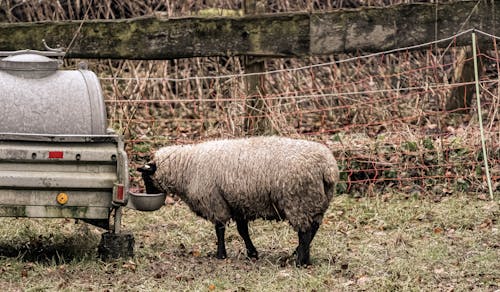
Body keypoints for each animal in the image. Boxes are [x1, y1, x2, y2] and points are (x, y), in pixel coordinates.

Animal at [137, 136, 340, 266]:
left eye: (146, 178)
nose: (148, 194)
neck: (186, 168)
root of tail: (327, 168)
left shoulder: (215, 202)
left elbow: (219, 229)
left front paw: (221, 255)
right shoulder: (237, 203)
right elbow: (242, 231)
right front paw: (252, 253)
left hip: (298, 201)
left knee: (305, 232)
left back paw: (299, 261)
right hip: (316, 202)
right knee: (313, 229)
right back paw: (301, 255)